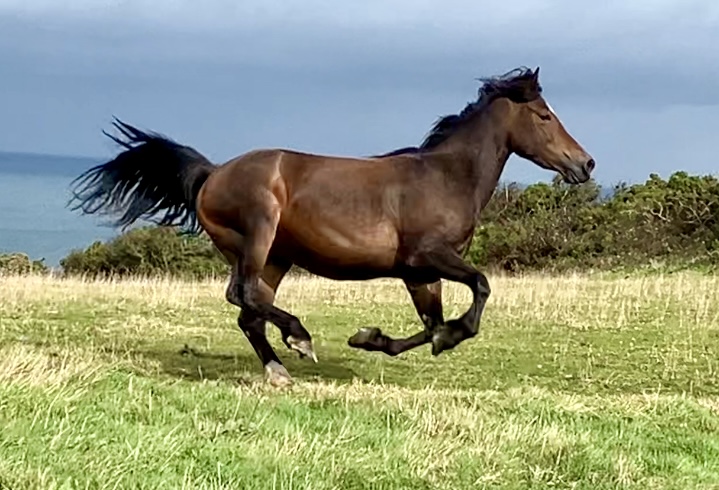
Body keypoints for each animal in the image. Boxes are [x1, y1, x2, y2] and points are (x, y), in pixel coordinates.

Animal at [69, 66, 595, 387]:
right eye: (544, 116)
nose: (585, 164)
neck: (444, 177)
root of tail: (212, 173)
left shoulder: (419, 273)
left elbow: (430, 324)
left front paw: (372, 338)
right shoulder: (428, 256)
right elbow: (480, 289)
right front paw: (443, 337)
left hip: (276, 256)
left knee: (248, 310)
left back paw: (279, 369)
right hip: (258, 235)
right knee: (245, 295)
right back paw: (298, 339)